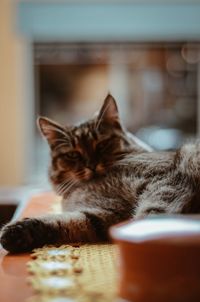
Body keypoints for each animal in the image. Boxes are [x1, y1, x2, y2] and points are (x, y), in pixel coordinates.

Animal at [0, 94, 200, 252]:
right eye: (73, 154)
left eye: (102, 145)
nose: (92, 165)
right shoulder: (105, 215)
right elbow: (63, 221)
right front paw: (16, 233)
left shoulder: (165, 179)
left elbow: (152, 212)